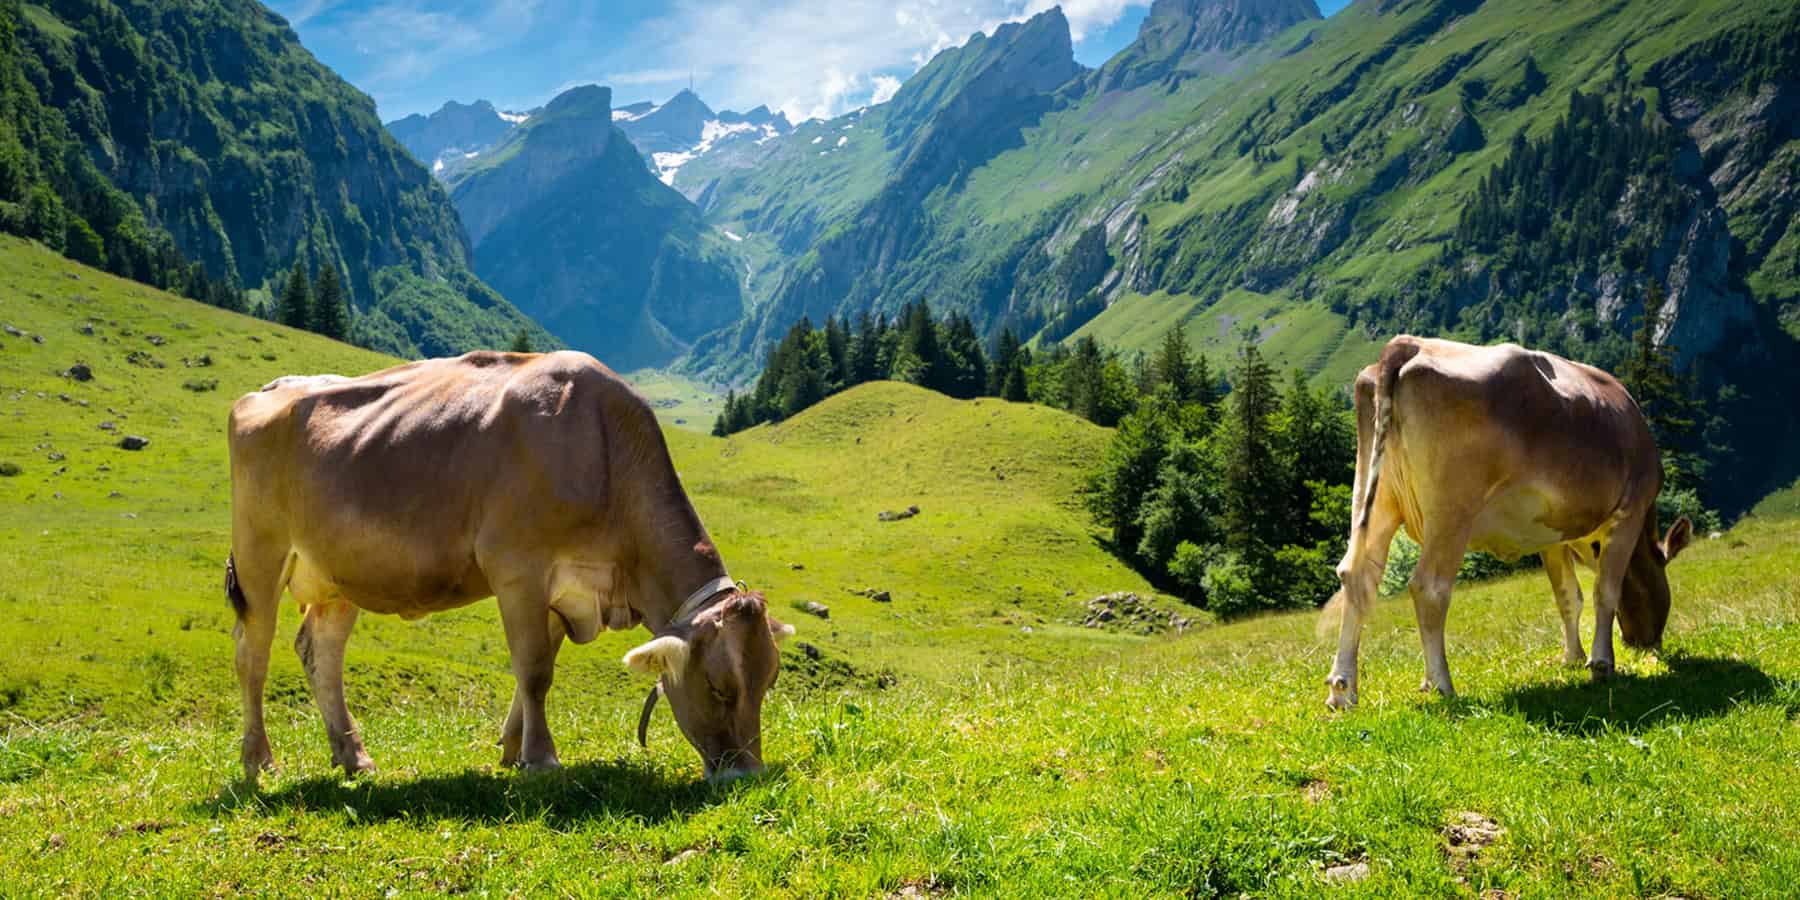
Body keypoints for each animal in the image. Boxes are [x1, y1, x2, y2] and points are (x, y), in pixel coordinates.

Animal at [225, 350, 794, 781]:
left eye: (769, 681)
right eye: (719, 687)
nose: (746, 774)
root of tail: (271, 387)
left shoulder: (565, 591)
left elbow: (534, 671)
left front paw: (513, 748)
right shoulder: (519, 568)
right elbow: (535, 669)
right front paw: (542, 759)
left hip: (338, 573)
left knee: (320, 652)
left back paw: (353, 757)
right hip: (260, 553)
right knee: (253, 654)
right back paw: (260, 762)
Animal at [1323, 336, 1692, 709]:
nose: (1647, 644)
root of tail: (1409, 344)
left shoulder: (1554, 536)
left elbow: (1568, 596)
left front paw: (1572, 658)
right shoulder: (1630, 509)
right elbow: (1606, 589)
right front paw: (1602, 664)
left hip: (1375, 495)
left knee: (1357, 576)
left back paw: (1343, 691)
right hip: (1451, 510)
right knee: (1429, 586)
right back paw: (1441, 684)